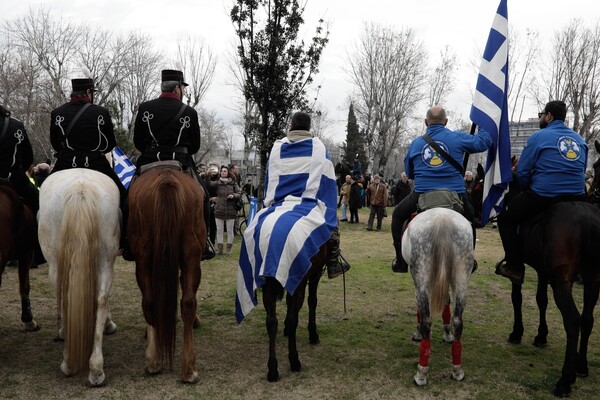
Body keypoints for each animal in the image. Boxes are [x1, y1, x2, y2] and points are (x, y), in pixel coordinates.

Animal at [38, 169, 120, 388]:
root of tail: (80, 188)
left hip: (56, 265)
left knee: (64, 297)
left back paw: (69, 362)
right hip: (105, 261)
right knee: (101, 299)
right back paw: (96, 369)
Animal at [127, 166, 206, 384]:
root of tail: (166, 178)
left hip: (145, 258)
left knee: (152, 301)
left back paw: (156, 361)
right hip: (190, 254)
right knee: (187, 302)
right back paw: (187, 368)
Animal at [262, 244, 328, 382]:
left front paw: (286, 329)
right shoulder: (316, 273)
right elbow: (312, 301)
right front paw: (313, 334)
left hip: (268, 286)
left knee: (271, 322)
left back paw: (272, 369)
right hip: (299, 282)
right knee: (293, 319)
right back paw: (294, 360)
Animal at [404, 208, 474, 386]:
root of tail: (443, 219)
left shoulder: (417, 280)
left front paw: (417, 333)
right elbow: (446, 304)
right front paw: (447, 334)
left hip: (421, 272)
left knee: (426, 321)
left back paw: (421, 373)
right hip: (461, 276)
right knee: (458, 320)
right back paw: (457, 370)